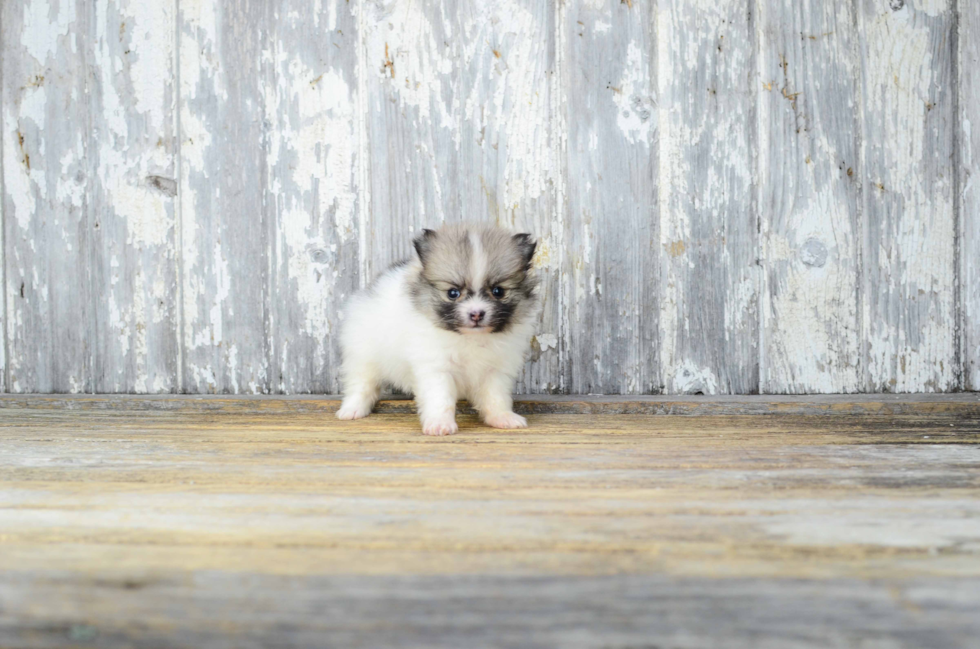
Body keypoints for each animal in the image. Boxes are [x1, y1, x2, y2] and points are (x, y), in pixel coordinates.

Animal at [334, 223, 536, 436]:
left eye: (498, 291)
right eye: (453, 293)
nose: (476, 314)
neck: (470, 338)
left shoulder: (495, 369)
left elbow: (496, 397)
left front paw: (503, 418)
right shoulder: (436, 367)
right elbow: (441, 399)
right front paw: (440, 424)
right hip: (363, 355)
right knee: (361, 384)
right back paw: (352, 410)